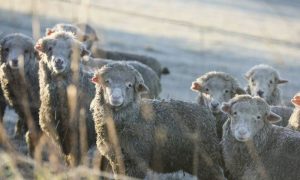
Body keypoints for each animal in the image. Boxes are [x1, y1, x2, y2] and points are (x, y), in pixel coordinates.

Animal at [35, 30, 96, 166]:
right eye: (50, 48)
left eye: (72, 51)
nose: (58, 61)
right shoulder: (58, 136)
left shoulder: (79, 139)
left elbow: (75, 161)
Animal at [90, 62, 224, 180]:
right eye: (107, 81)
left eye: (129, 85)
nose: (116, 98)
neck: (135, 116)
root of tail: (208, 113)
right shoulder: (117, 160)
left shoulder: (137, 162)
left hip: (207, 160)